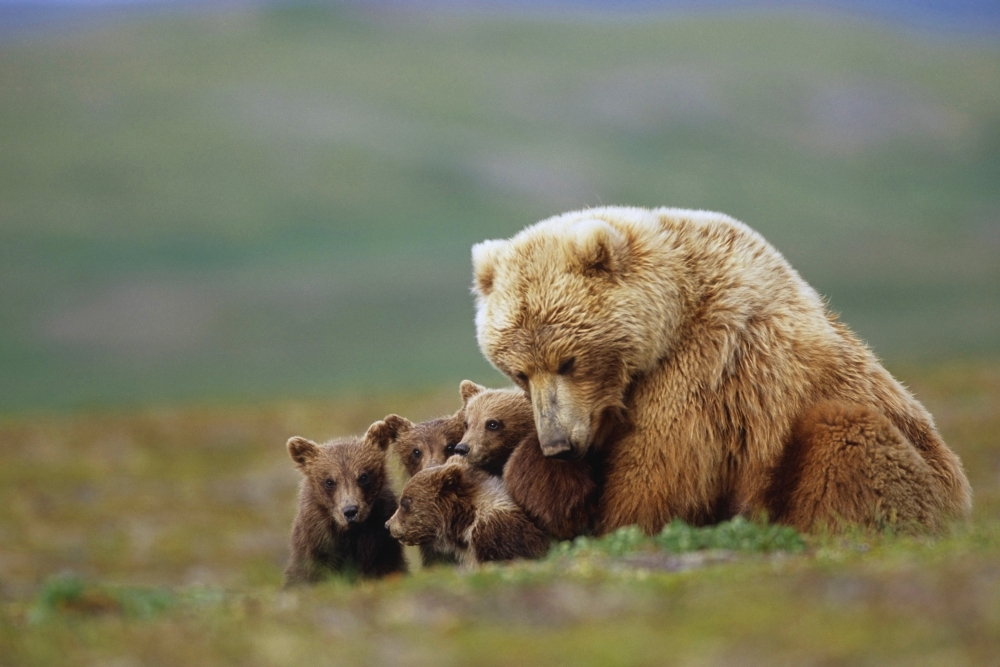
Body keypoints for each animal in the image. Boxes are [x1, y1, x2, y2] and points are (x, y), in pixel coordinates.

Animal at [472, 206, 971, 535]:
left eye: (569, 361)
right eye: (519, 372)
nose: (558, 444)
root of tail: (962, 501)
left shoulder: (706, 369)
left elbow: (657, 473)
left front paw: (618, 520)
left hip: (910, 465)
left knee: (845, 435)